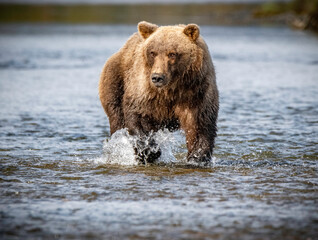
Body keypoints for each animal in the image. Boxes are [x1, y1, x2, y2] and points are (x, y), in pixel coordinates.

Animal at [99, 21, 219, 165]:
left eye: (172, 54)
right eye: (153, 52)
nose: (157, 77)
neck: (172, 89)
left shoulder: (196, 91)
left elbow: (199, 124)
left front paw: (197, 157)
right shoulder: (144, 90)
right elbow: (138, 116)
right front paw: (150, 151)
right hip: (115, 81)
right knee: (117, 119)